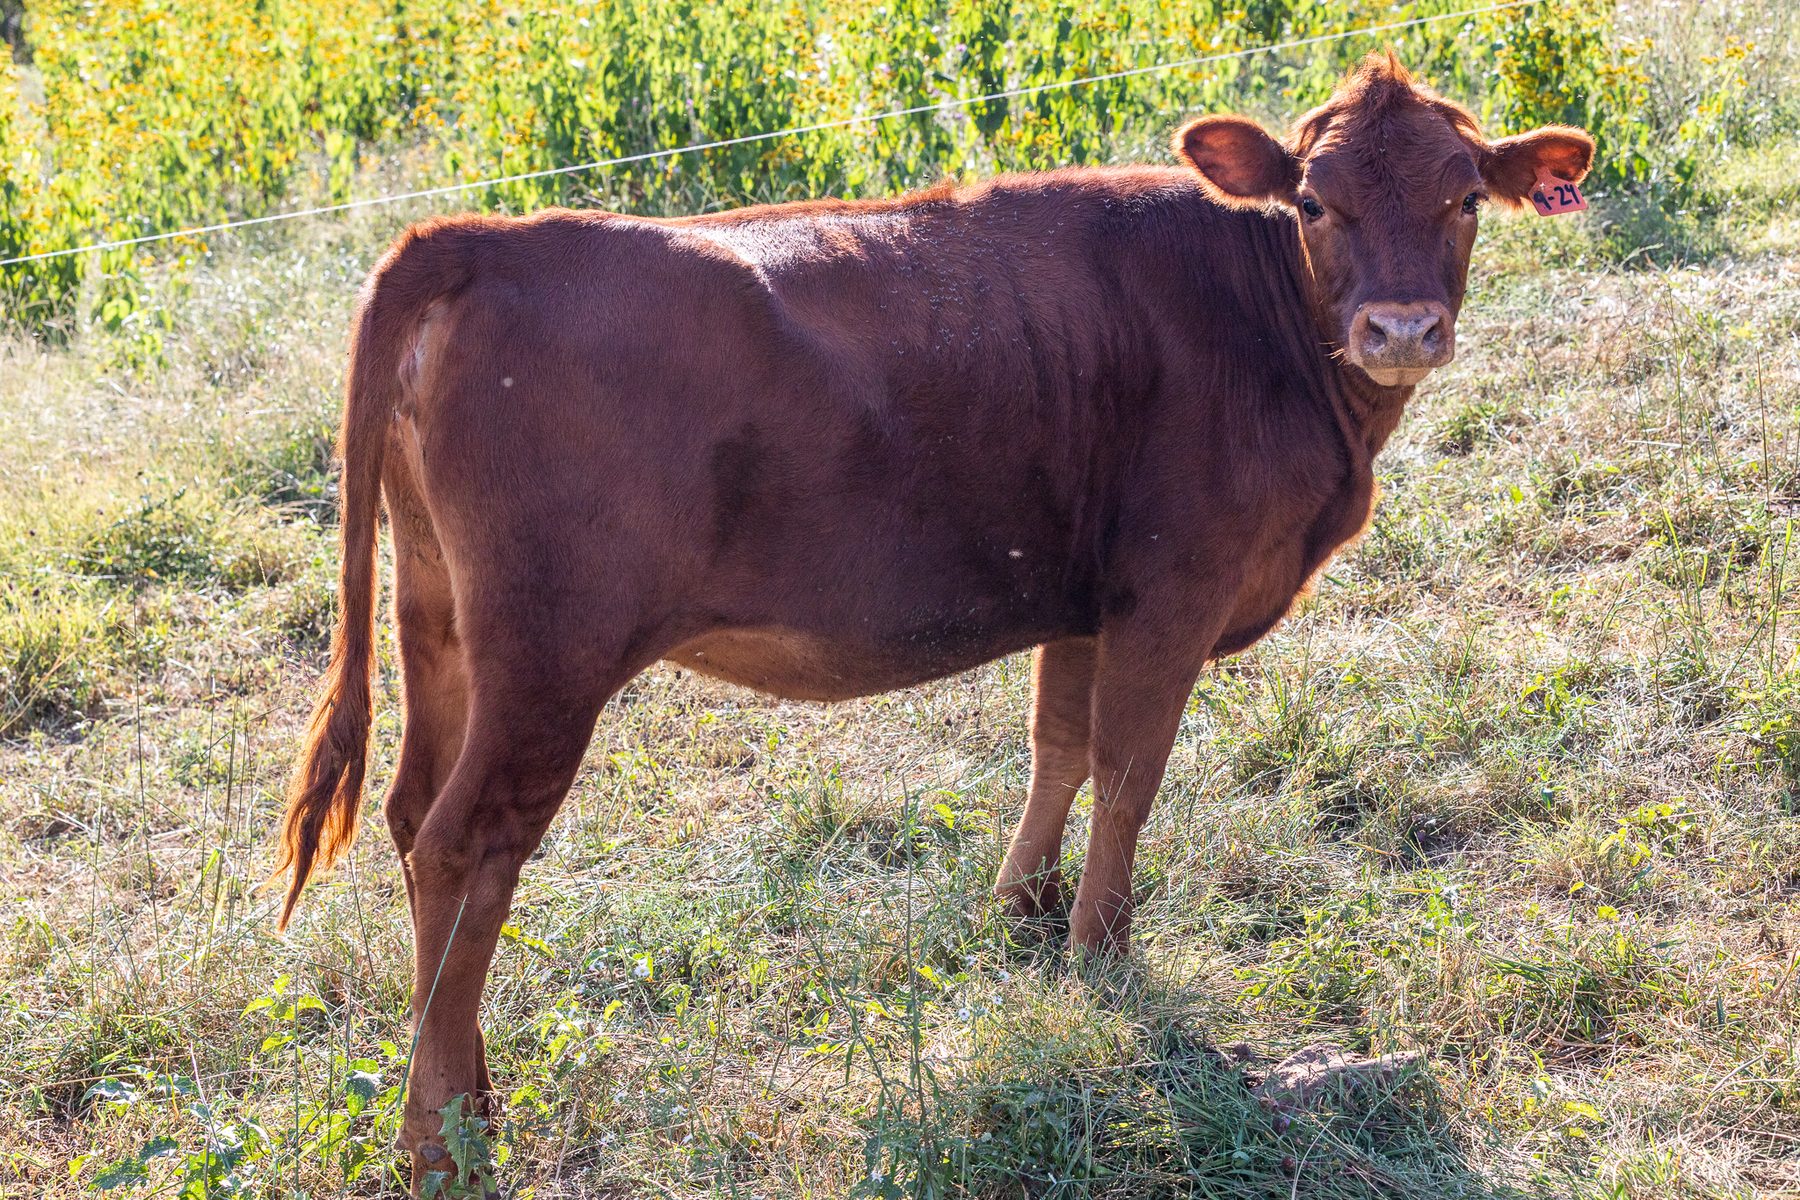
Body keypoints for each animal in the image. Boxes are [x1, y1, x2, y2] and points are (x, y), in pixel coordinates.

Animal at [270, 52, 1592, 1186]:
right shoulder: (1173, 588)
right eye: (1314, 202)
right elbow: (1131, 771)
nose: (1402, 329)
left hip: (440, 623)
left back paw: (474, 1095)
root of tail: (476, 238)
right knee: (468, 847)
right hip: (550, 654)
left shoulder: (1083, 594)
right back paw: (444, 1142)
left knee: (410, 822)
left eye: (1465, 197)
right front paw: (1103, 959)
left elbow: (1059, 745)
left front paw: (1023, 913)